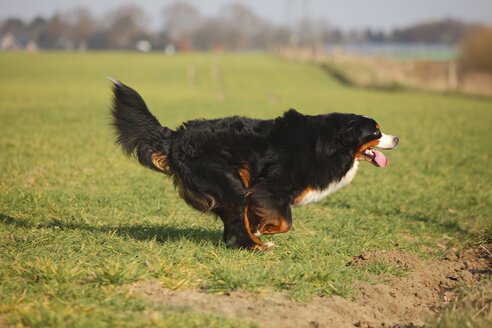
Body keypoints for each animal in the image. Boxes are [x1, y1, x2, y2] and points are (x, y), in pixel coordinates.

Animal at [109, 80, 398, 251]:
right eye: (375, 131)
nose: (396, 139)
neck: (331, 143)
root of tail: (177, 136)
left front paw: (260, 224)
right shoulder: (271, 187)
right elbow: (285, 221)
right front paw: (266, 228)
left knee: (233, 226)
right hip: (229, 181)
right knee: (237, 225)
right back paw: (257, 245)